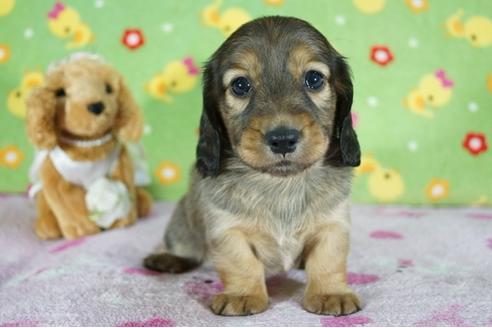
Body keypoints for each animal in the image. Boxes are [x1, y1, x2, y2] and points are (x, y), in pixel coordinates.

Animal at [144, 16, 360, 316]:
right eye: (240, 85)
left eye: (314, 78)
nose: (282, 139)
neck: (280, 183)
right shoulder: (227, 229)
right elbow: (241, 263)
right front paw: (243, 294)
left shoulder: (333, 223)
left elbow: (327, 259)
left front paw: (330, 292)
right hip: (182, 222)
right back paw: (168, 258)